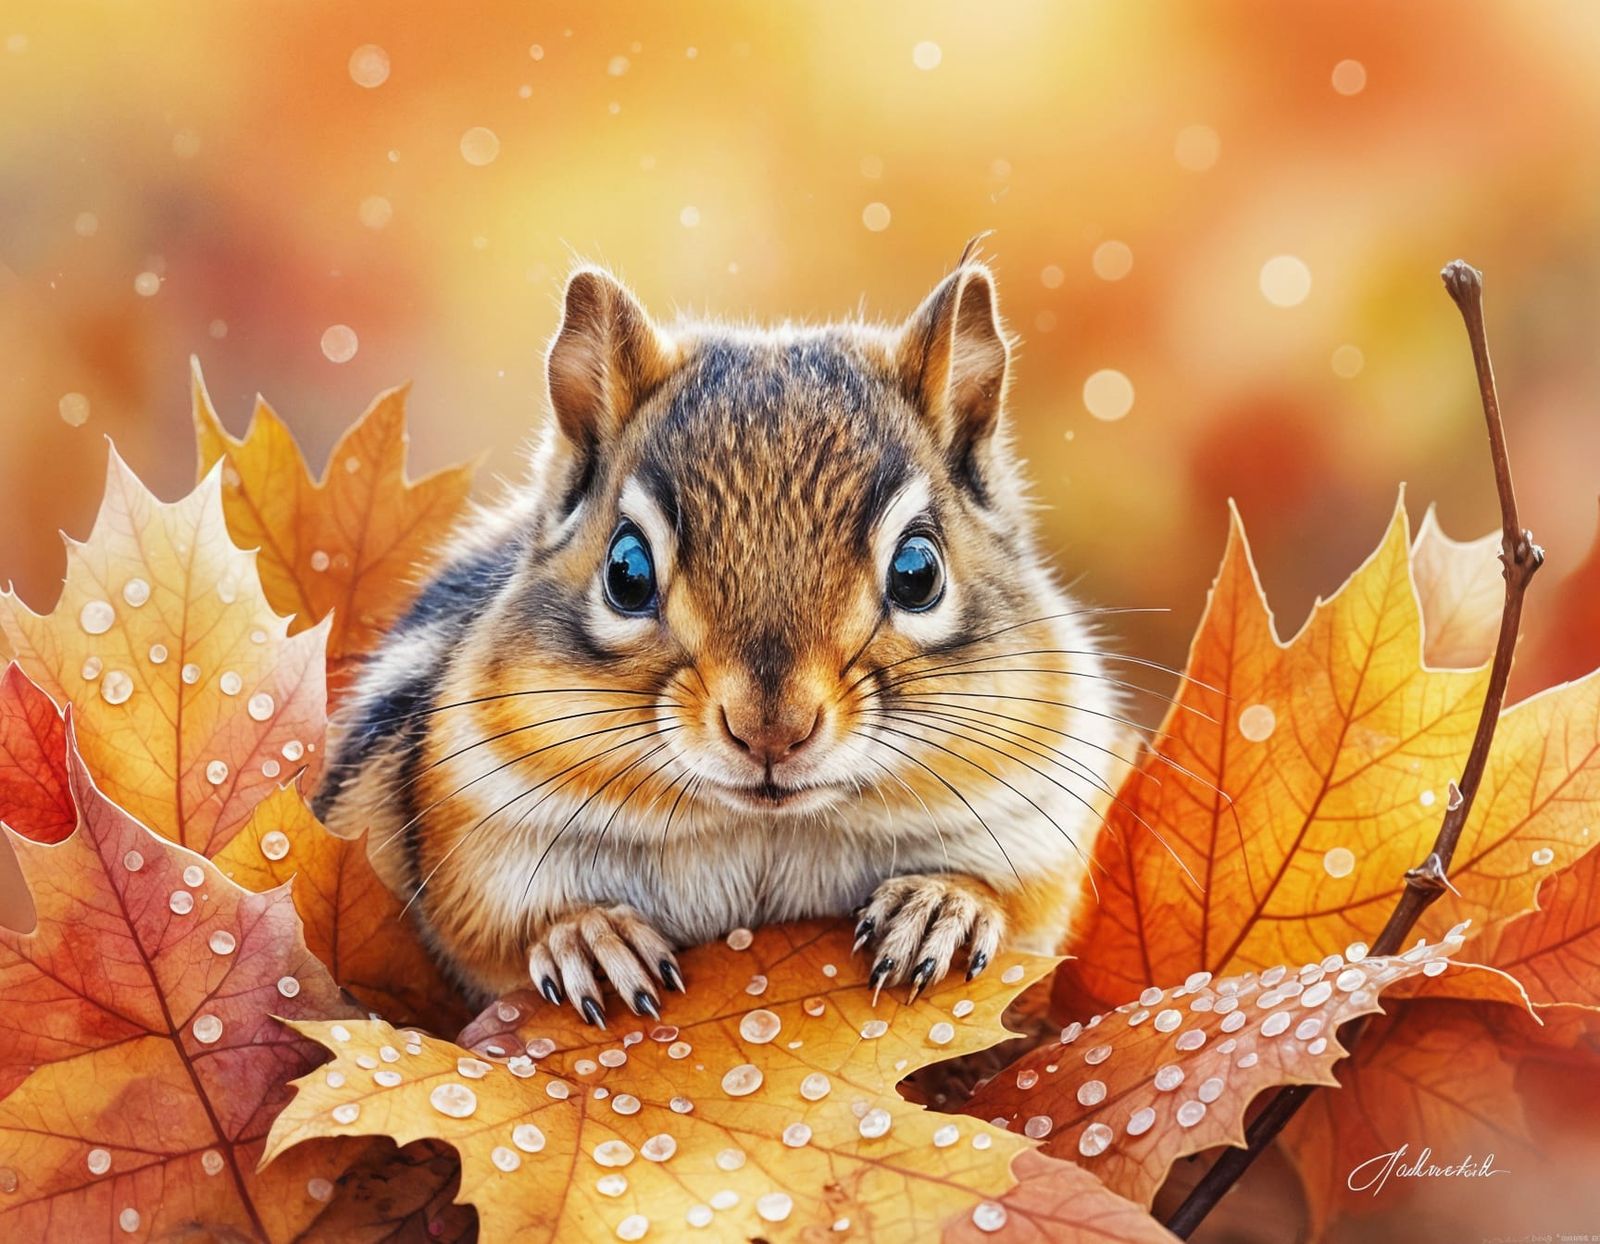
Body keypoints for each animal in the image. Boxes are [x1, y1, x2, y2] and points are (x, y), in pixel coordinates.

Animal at [315, 253, 1126, 1025]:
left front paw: (944, 906)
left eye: (918, 571)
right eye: (626, 572)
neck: (764, 828)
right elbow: (491, 931)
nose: (772, 733)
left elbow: (1022, 901)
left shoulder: (1038, 814)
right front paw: (587, 936)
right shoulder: (473, 838)